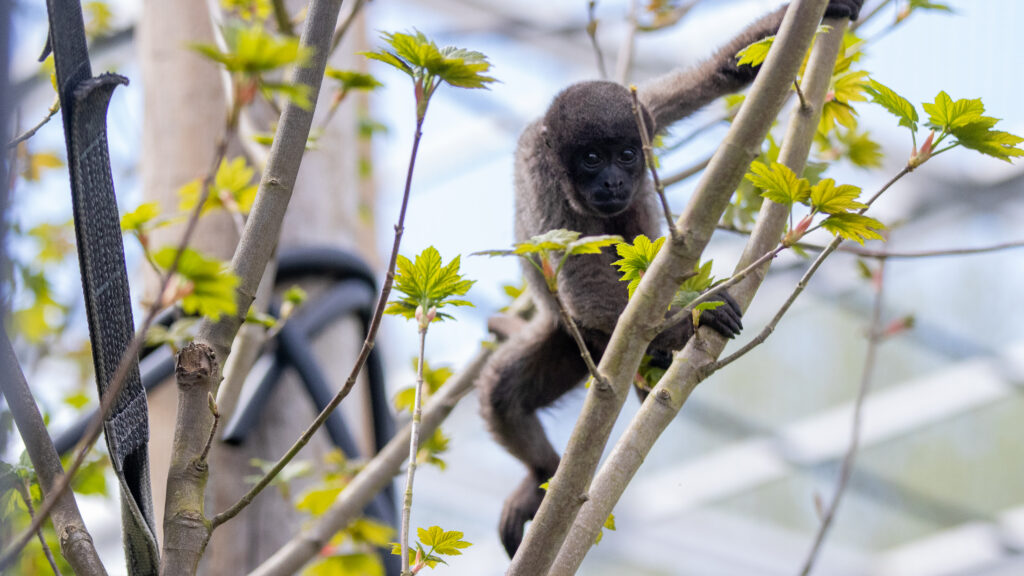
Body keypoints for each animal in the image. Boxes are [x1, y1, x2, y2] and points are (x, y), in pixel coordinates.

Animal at [478, 0, 863, 558]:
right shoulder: (542, 179)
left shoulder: (646, 111)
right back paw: (543, 473)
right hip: (573, 346)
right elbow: (581, 281)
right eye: (591, 158)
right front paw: (691, 318)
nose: (614, 180)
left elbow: (718, 74)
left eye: (626, 154)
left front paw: (823, 12)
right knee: (502, 393)